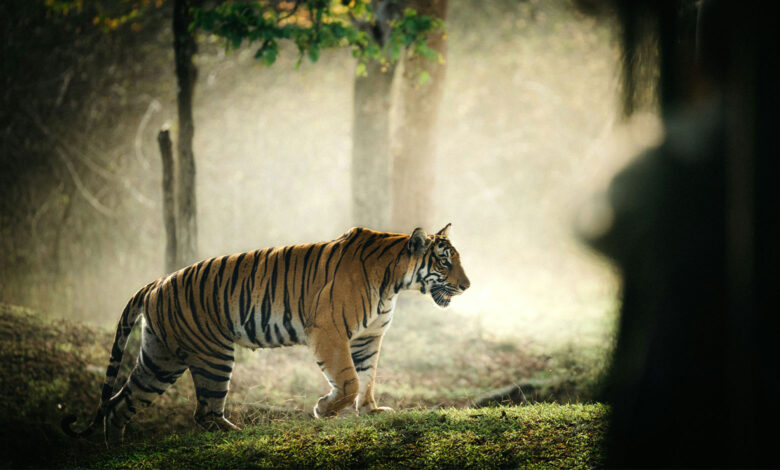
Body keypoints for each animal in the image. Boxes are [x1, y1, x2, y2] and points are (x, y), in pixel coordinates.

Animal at [62, 224, 469, 447]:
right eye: (444, 260)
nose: (467, 286)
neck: (394, 283)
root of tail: (157, 282)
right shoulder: (329, 332)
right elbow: (349, 380)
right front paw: (324, 409)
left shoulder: (368, 339)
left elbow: (367, 379)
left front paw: (370, 411)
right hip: (212, 355)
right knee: (203, 412)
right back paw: (238, 434)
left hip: (160, 359)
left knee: (120, 403)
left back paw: (116, 449)